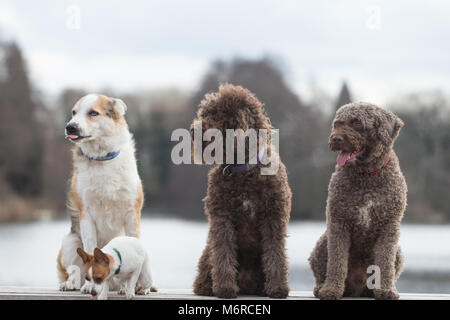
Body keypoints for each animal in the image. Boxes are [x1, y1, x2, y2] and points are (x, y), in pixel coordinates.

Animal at [56, 93, 144, 296]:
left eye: (93, 113)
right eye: (74, 112)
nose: (70, 126)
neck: (102, 159)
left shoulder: (132, 212)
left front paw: (134, 286)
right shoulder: (86, 214)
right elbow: (89, 248)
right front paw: (89, 286)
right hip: (70, 242)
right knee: (74, 270)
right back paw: (71, 283)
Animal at [191, 84, 292, 298]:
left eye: (217, 114)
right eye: (204, 113)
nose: (193, 129)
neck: (243, 170)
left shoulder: (273, 218)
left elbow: (275, 255)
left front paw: (278, 288)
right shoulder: (222, 219)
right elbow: (223, 254)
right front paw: (225, 288)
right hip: (207, 253)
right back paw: (207, 286)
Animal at [310, 102, 408, 300]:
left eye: (357, 123)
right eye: (337, 123)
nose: (336, 138)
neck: (366, 176)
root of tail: (356, 288)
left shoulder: (389, 226)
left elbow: (385, 263)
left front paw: (386, 290)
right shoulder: (338, 223)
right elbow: (337, 261)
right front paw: (331, 290)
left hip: (398, 253)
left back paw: (373, 290)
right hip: (322, 244)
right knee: (322, 270)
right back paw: (322, 287)